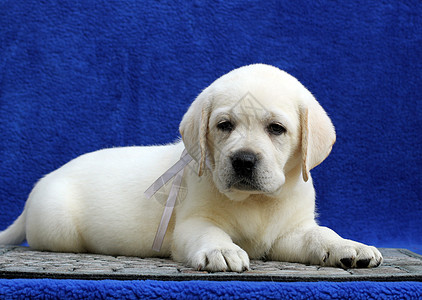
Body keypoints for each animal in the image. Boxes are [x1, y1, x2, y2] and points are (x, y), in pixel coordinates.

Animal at [0, 64, 382, 270]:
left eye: (276, 129)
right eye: (224, 125)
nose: (244, 160)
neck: (255, 202)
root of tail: (40, 185)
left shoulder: (290, 233)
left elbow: (321, 234)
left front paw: (350, 247)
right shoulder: (191, 223)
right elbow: (208, 232)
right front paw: (222, 250)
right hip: (57, 227)